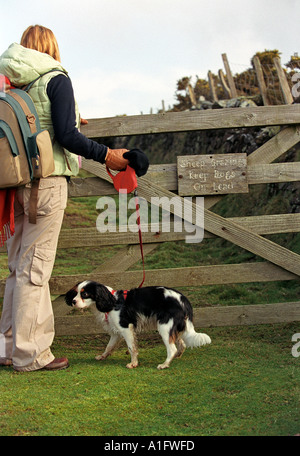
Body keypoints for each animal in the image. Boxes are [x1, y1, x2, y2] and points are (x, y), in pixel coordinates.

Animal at [65, 280, 211, 368]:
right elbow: (109, 346)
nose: (73, 301)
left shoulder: (125, 328)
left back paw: (164, 364)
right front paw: (103, 356)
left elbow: (131, 347)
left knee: (172, 348)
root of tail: (183, 300)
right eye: (76, 293)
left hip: (164, 327)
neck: (112, 301)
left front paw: (133, 363)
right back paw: (176, 357)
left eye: (85, 294)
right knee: (182, 344)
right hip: (173, 327)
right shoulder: (116, 332)